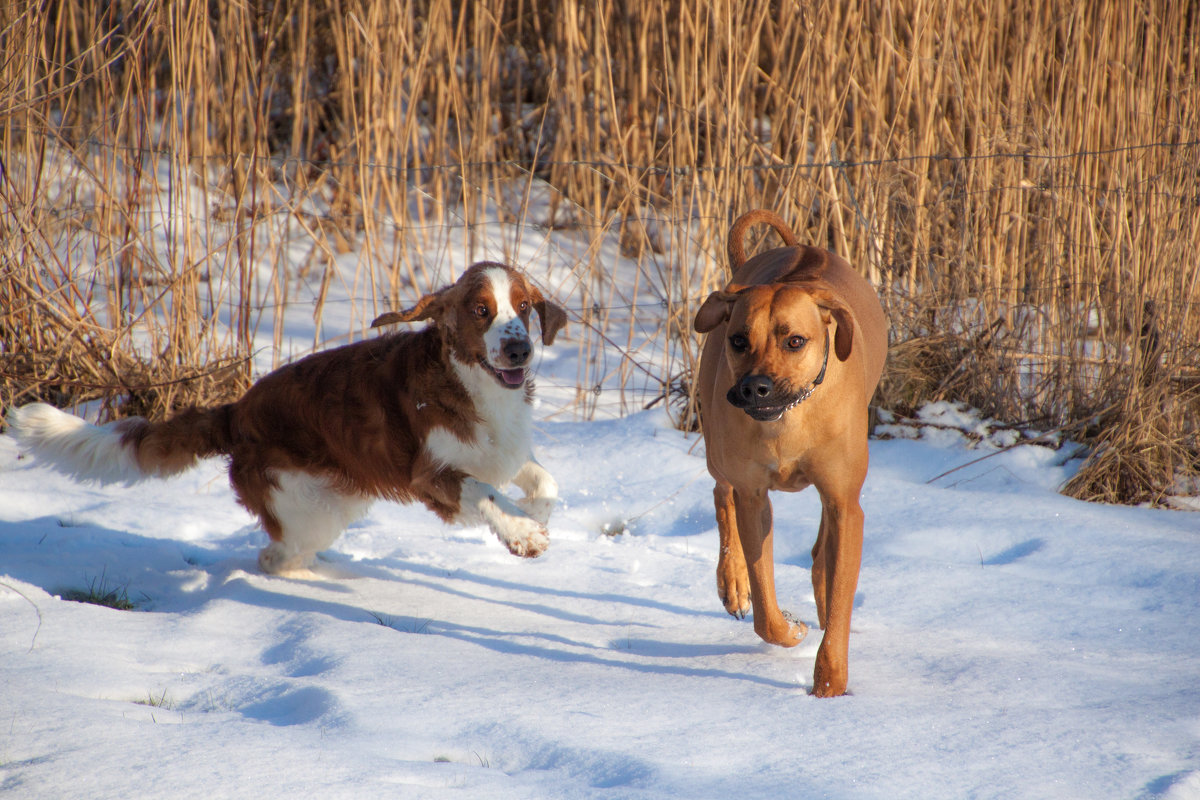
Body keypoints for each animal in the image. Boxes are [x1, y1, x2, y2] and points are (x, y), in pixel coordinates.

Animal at [5, 263, 566, 575]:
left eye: (524, 306)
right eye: (480, 310)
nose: (519, 350)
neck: (475, 387)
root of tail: (234, 413)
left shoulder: (503, 450)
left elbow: (545, 484)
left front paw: (531, 518)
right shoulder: (429, 474)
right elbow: (484, 492)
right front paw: (524, 535)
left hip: (334, 504)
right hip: (304, 507)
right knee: (275, 556)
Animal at [691, 209, 888, 695]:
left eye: (794, 341)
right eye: (739, 340)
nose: (753, 388)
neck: (788, 416)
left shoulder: (844, 499)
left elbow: (840, 594)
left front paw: (829, 683)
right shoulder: (754, 496)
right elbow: (766, 610)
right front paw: (791, 629)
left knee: (823, 548)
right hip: (717, 447)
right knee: (721, 493)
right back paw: (733, 582)